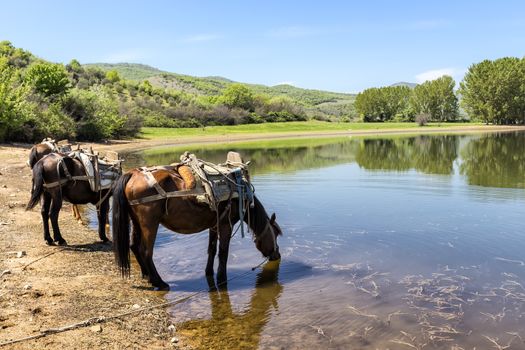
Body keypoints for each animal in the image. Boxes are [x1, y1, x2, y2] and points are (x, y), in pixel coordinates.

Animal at [111, 168, 282, 292]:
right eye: (275, 234)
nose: (277, 255)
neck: (238, 194)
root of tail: (133, 173)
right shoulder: (226, 225)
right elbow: (223, 253)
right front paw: (222, 279)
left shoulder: (214, 225)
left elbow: (212, 250)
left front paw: (209, 272)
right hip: (149, 224)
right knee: (145, 251)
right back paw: (159, 282)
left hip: (136, 222)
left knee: (134, 246)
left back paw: (146, 275)